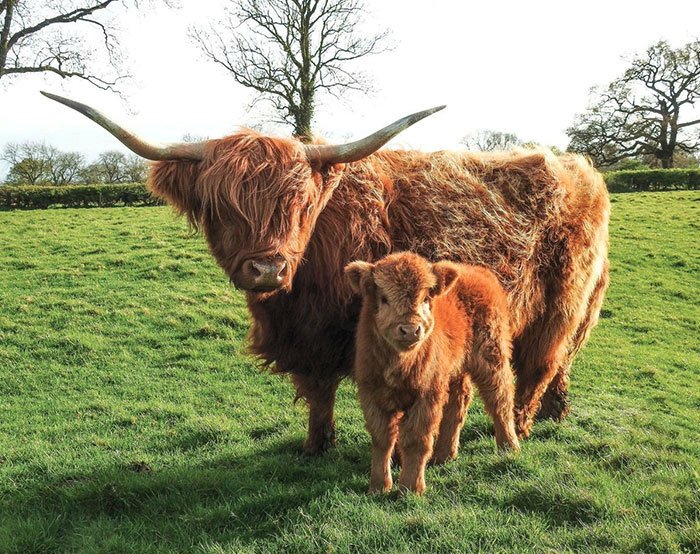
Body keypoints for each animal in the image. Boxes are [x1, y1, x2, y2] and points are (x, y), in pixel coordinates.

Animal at [43, 90, 608, 452]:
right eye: (223, 208)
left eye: (297, 206)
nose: (267, 269)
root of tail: (581, 167)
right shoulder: (306, 336)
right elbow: (317, 392)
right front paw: (317, 445)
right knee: (561, 363)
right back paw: (557, 414)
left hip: (560, 304)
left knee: (541, 363)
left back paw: (523, 427)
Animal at [346, 252, 520, 494]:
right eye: (384, 299)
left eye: (426, 297)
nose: (410, 330)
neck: (401, 364)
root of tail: (479, 272)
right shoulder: (372, 393)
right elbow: (382, 438)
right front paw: (379, 486)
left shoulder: (427, 395)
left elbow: (416, 439)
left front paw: (411, 487)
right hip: (454, 371)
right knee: (458, 403)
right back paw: (444, 454)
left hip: (492, 357)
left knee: (500, 399)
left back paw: (509, 446)